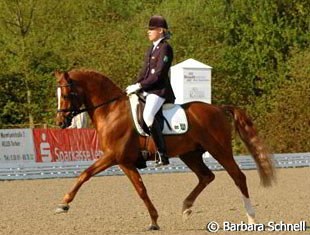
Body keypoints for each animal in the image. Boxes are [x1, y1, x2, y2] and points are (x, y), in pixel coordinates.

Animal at [54, 69, 274, 229]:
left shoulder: (114, 157)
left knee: (238, 177)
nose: (60, 122)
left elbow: (86, 174)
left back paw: (251, 218)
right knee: (206, 176)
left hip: (219, 150)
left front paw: (63, 204)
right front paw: (154, 220)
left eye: (67, 93)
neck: (111, 111)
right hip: (190, 154)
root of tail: (218, 108)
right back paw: (186, 208)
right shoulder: (124, 162)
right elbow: (140, 189)